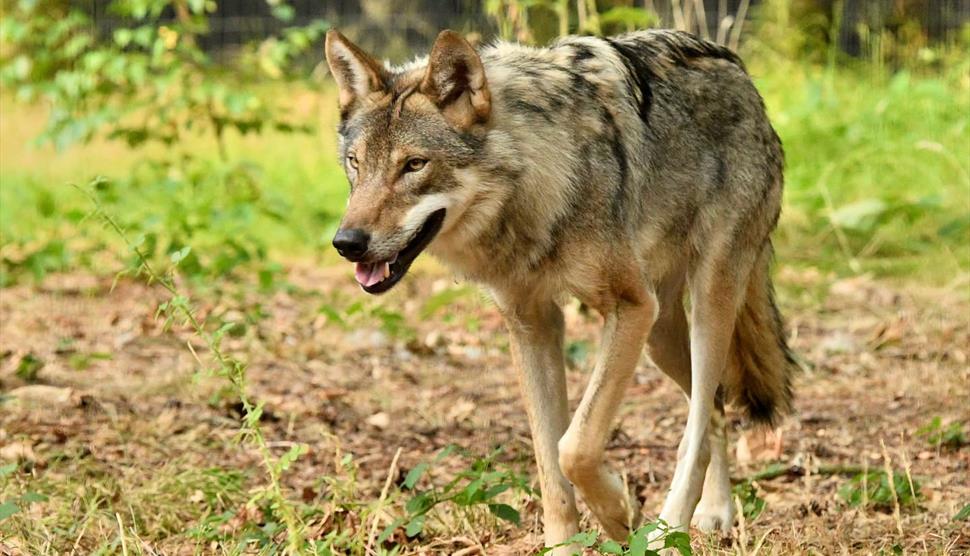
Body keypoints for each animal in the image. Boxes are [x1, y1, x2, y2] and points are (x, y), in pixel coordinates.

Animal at [324, 27, 796, 553]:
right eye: (355, 164)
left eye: (414, 165)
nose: (347, 243)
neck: (534, 181)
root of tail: (740, 72)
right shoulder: (533, 325)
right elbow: (550, 466)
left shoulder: (630, 307)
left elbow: (575, 446)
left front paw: (619, 513)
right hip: (660, 335)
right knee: (711, 405)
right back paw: (713, 514)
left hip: (707, 302)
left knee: (696, 429)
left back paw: (669, 528)